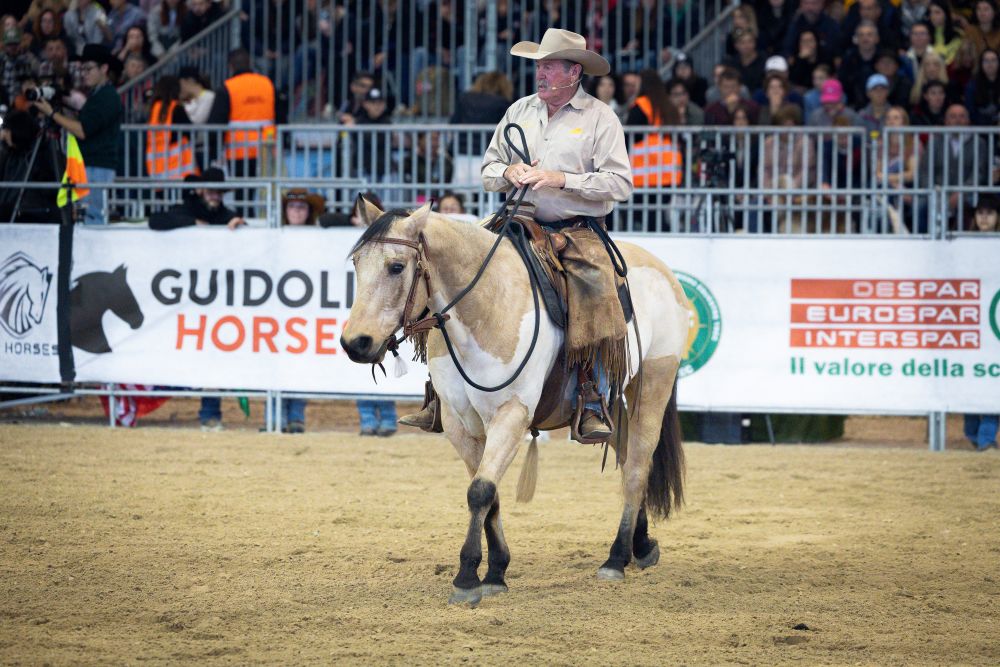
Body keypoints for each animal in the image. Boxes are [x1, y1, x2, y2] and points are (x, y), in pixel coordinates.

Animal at [341, 200, 692, 605]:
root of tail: (664, 272)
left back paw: (616, 558)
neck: (486, 308)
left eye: (396, 266)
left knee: (636, 466)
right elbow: (487, 492)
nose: (355, 342)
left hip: (653, 383)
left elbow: (480, 491)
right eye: (357, 263)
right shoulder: (460, 425)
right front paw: (496, 571)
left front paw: (467, 578)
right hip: (617, 402)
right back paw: (642, 544)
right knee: (627, 457)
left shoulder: (511, 415)